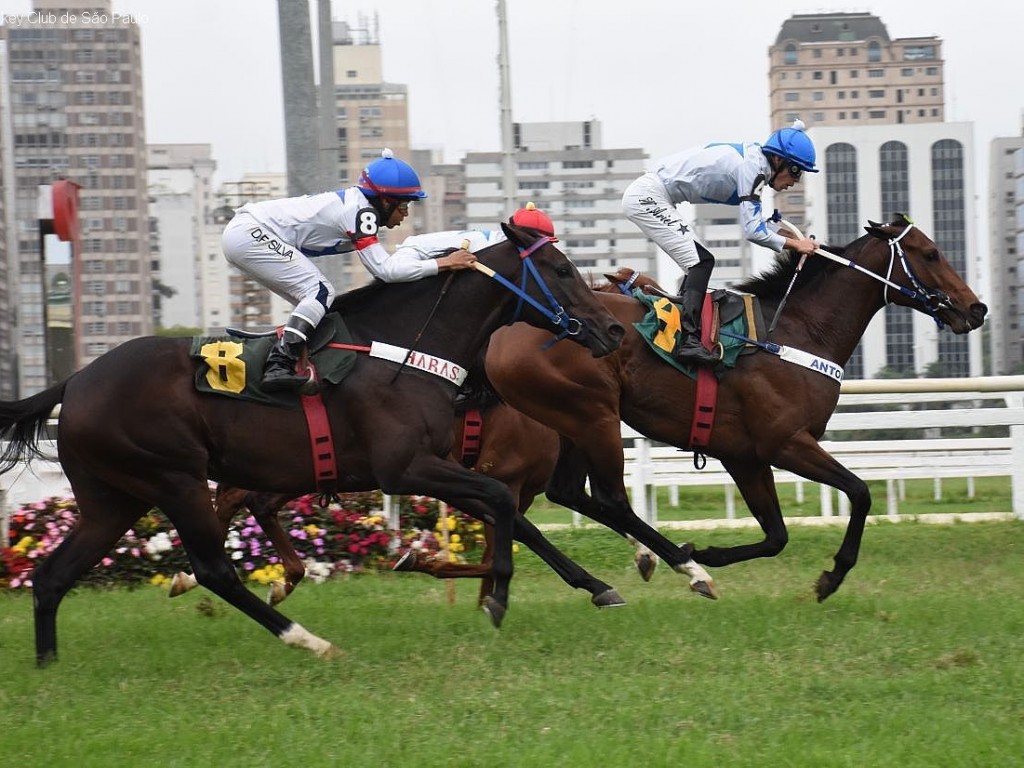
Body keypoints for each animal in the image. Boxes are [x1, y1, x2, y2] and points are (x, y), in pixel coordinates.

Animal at [0, 222, 622, 667]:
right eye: (561, 269)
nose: (614, 330)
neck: (403, 350)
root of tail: (74, 383)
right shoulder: (407, 467)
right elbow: (500, 505)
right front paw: (498, 598)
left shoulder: (433, 465)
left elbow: (511, 518)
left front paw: (591, 586)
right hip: (173, 478)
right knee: (214, 568)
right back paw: (308, 640)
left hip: (114, 497)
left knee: (52, 576)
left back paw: (49, 665)